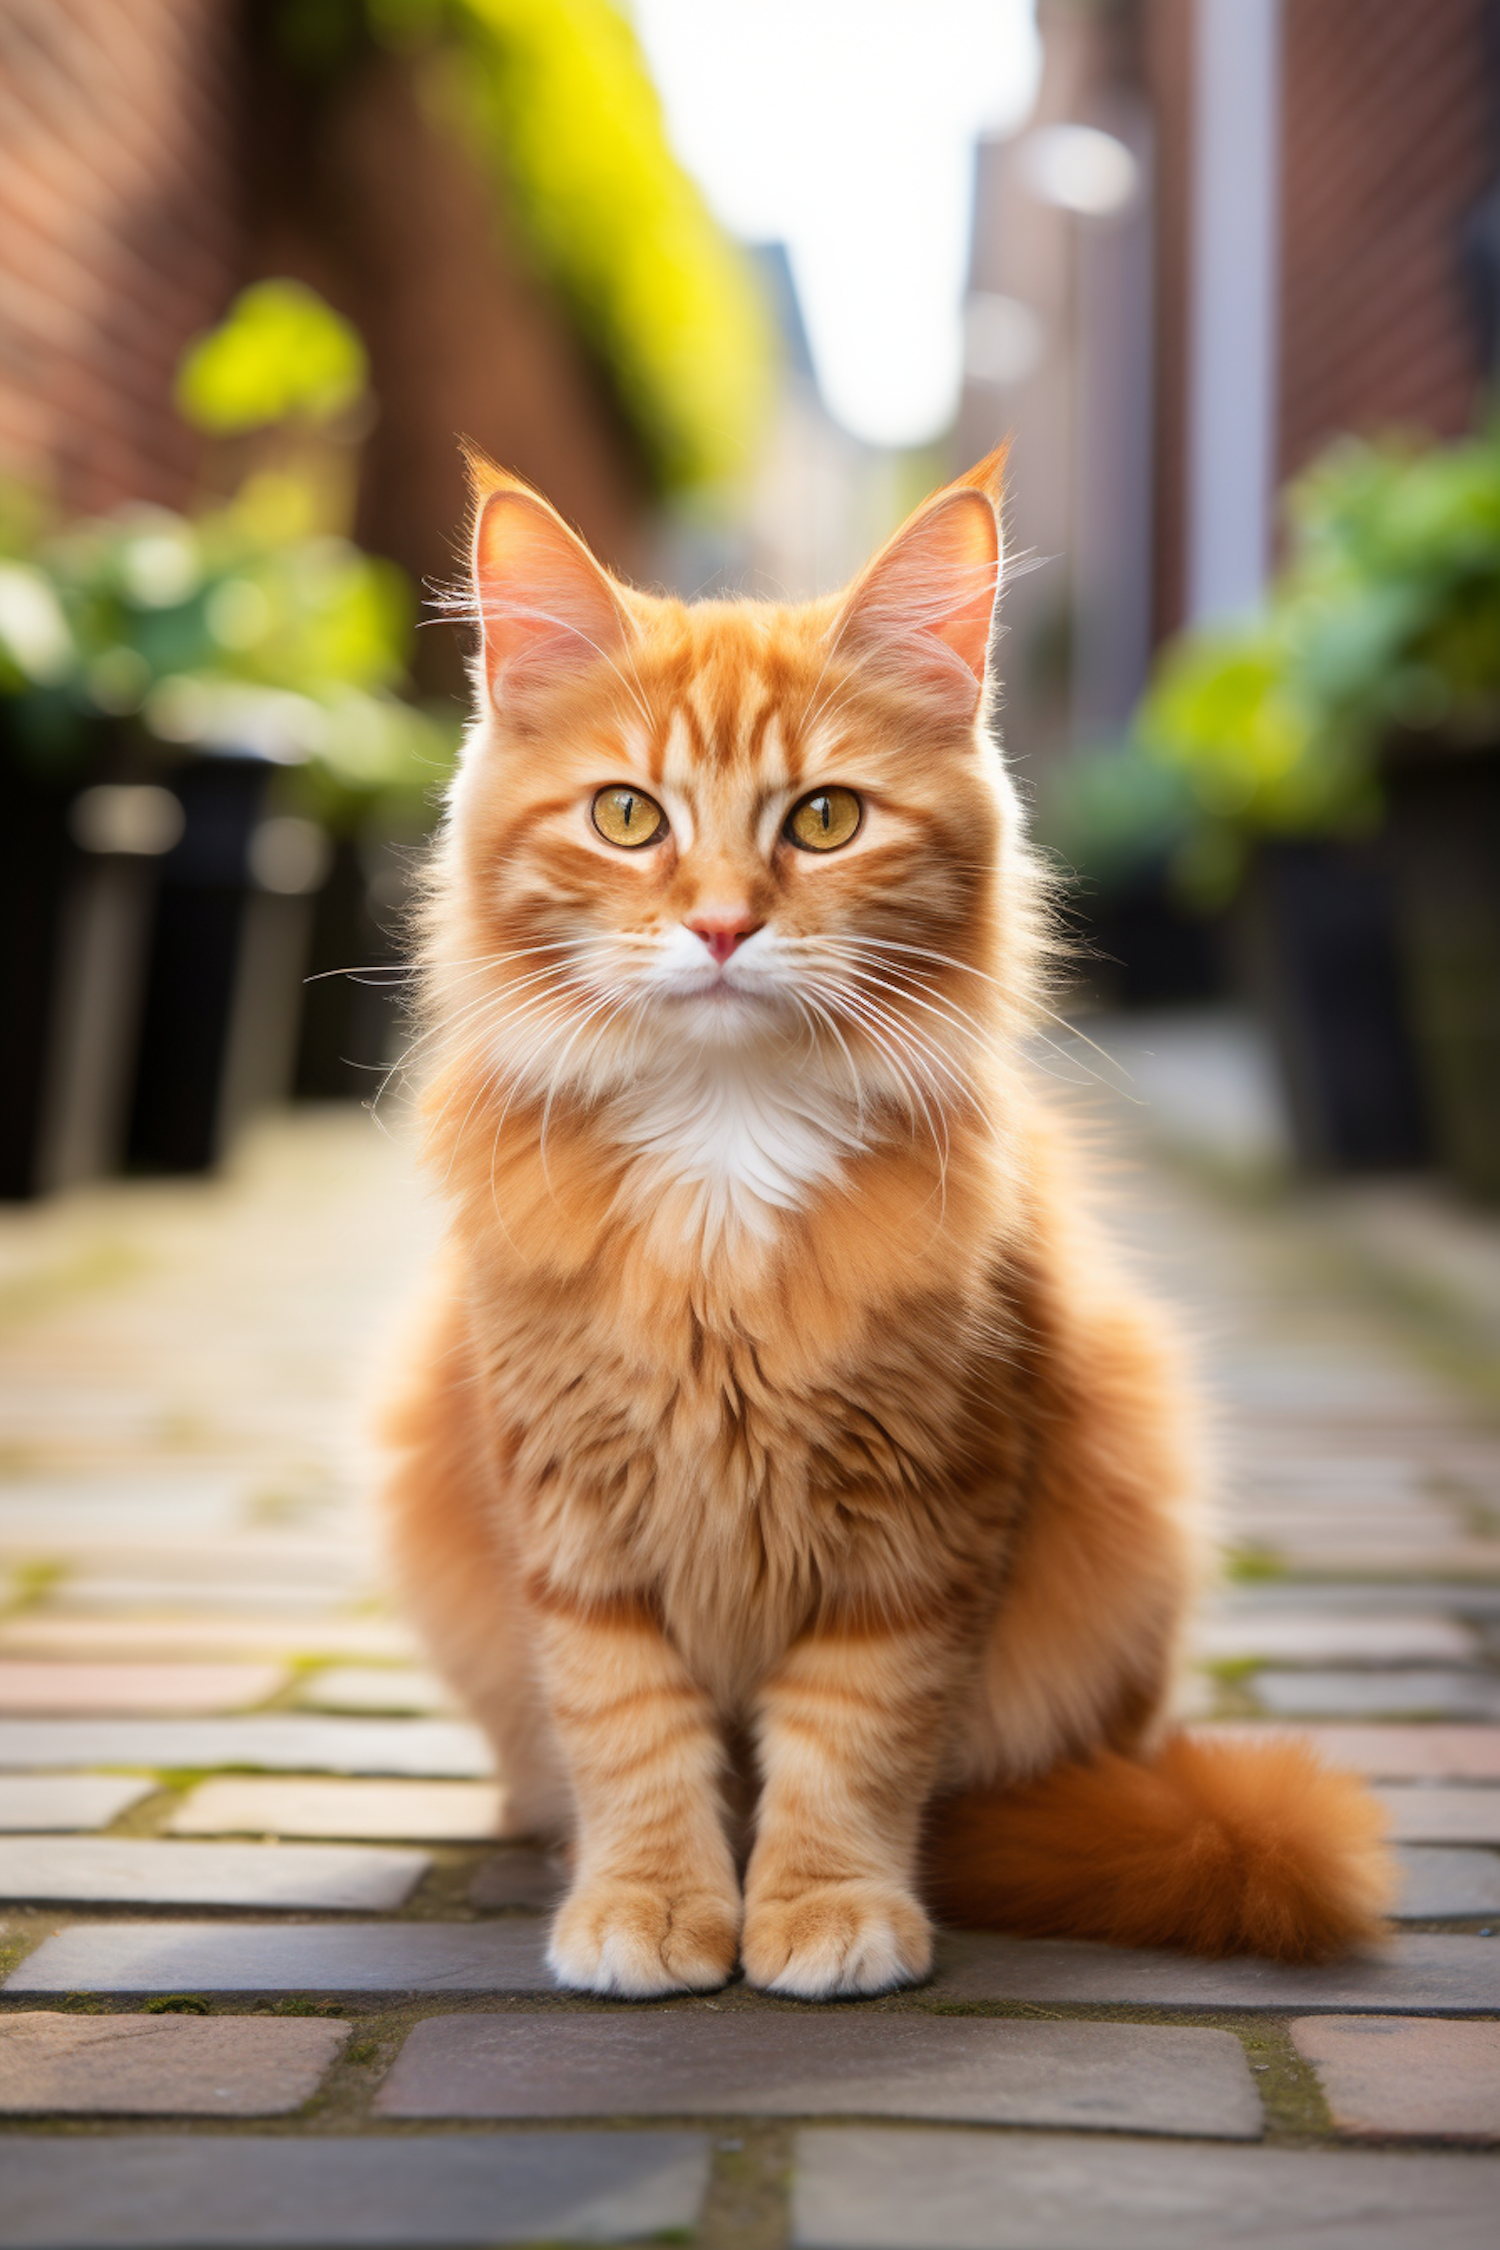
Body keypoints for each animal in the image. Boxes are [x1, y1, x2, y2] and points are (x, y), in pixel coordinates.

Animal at [382, 456, 1394, 2007]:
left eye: (823, 821)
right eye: (627, 818)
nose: (722, 928)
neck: (726, 1143)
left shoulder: (925, 1514)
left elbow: (850, 1739)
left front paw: (824, 1907)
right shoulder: (570, 1502)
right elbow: (627, 1726)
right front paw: (648, 1900)